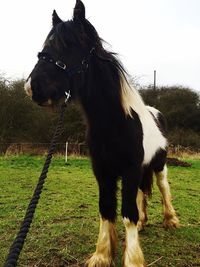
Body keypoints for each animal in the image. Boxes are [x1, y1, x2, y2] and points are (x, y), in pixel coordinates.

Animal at [24, 1, 179, 266]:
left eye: (69, 44)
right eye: (45, 45)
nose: (32, 87)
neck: (115, 123)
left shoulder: (128, 170)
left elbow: (127, 213)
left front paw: (132, 259)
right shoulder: (103, 172)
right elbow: (106, 209)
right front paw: (102, 255)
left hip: (159, 165)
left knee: (163, 187)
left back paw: (170, 220)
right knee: (142, 193)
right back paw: (144, 222)